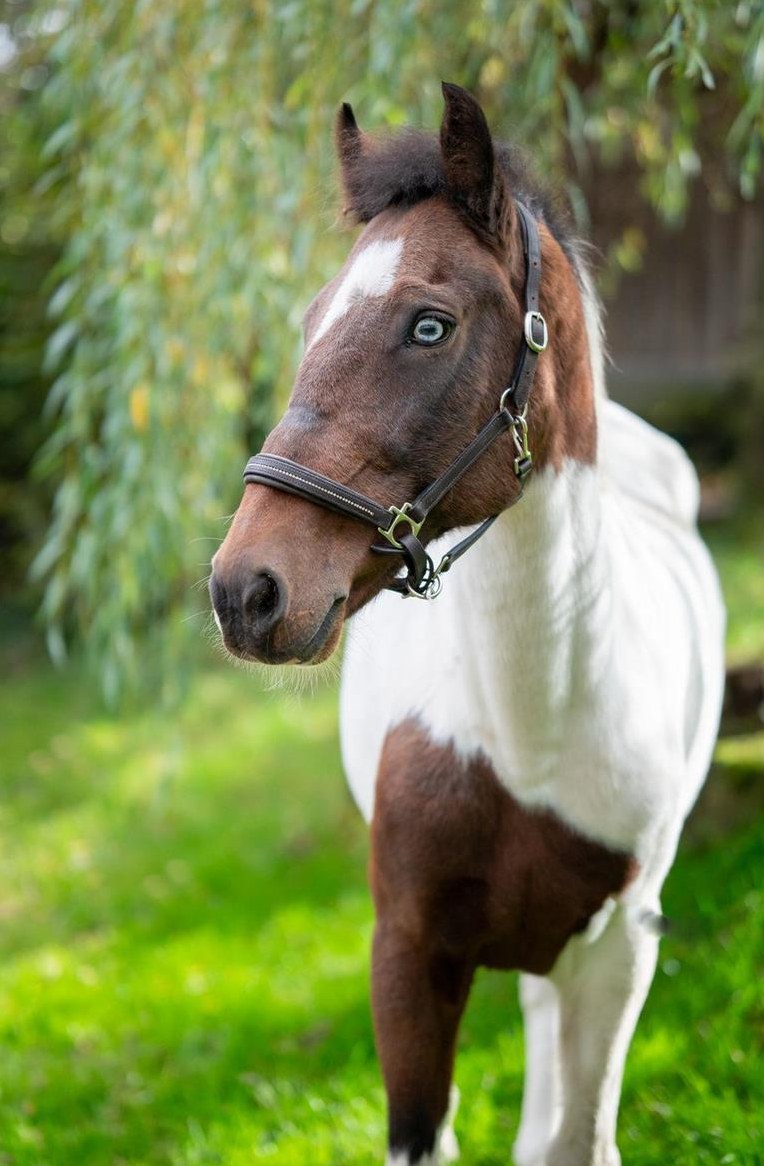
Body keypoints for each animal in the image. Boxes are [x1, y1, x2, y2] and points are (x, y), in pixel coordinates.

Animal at [210, 83, 725, 1166]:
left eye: (428, 326)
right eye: (311, 319)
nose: (246, 591)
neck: (529, 735)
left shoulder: (618, 949)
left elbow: (580, 1138)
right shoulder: (408, 954)